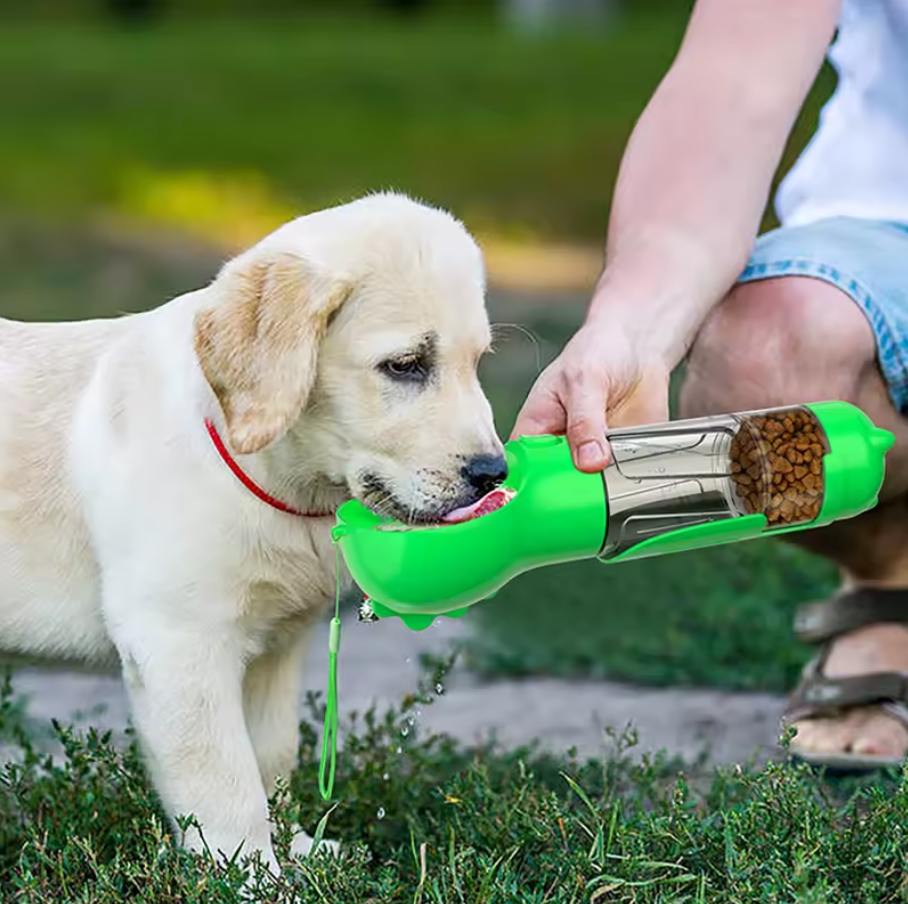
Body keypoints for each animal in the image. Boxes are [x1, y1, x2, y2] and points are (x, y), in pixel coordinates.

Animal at [0, 194, 508, 872]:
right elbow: (225, 782)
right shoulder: (179, 644)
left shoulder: (275, 647)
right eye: (405, 366)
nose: (494, 473)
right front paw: (253, 876)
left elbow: (271, 758)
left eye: (477, 364)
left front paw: (297, 850)